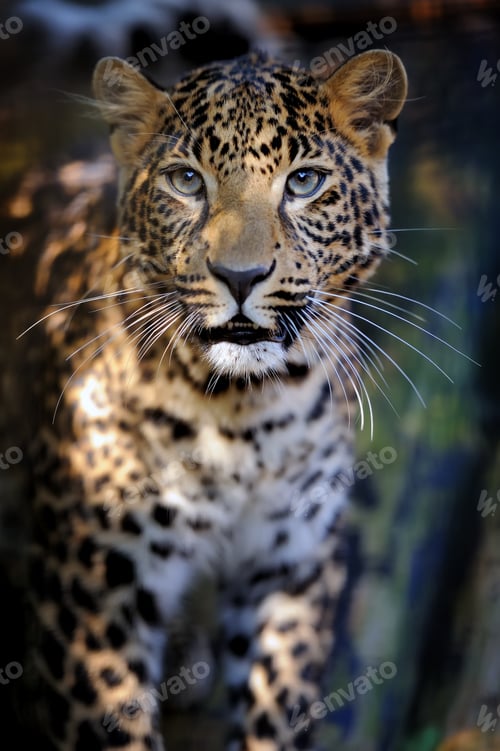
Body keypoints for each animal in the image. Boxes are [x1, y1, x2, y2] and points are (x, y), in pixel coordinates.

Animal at [22, 48, 407, 751]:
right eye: (185, 181)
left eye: (304, 181)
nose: (240, 276)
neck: (241, 416)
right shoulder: (88, 594)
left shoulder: (291, 566)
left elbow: (276, 707)